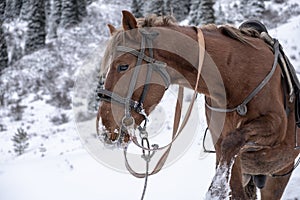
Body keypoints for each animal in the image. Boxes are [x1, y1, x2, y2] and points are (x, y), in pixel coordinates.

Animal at [97, 10, 298, 198]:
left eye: (123, 66)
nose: (105, 127)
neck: (237, 76)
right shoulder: (226, 149)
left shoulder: (275, 125)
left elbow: (232, 141)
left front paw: (215, 190)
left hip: (279, 175)